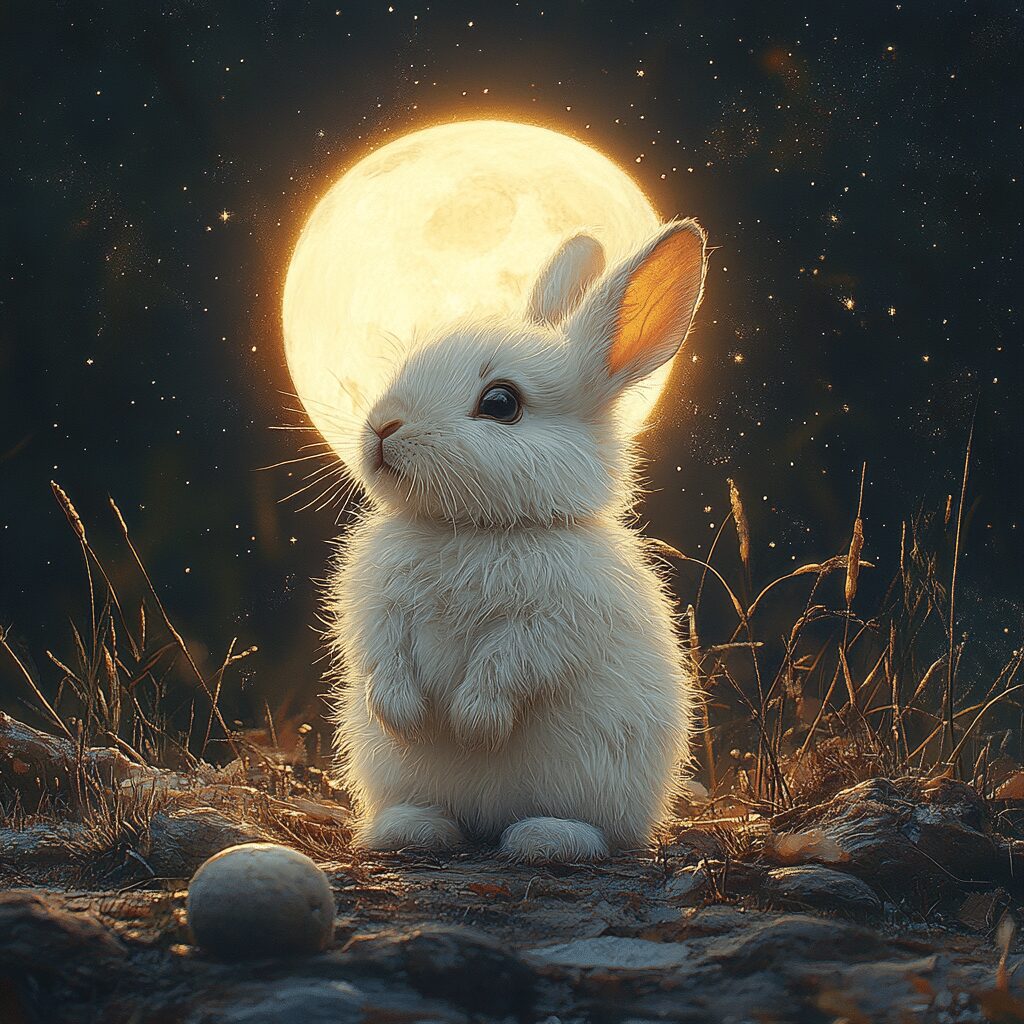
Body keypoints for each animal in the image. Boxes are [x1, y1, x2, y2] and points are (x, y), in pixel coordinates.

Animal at [324, 218, 708, 863]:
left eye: (500, 403)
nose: (383, 425)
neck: (472, 528)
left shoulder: (556, 618)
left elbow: (511, 662)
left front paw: (472, 724)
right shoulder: (376, 606)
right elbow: (382, 650)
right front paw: (403, 715)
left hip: (594, 778)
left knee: (591, 829)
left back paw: (544, 839)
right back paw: (412, 831)